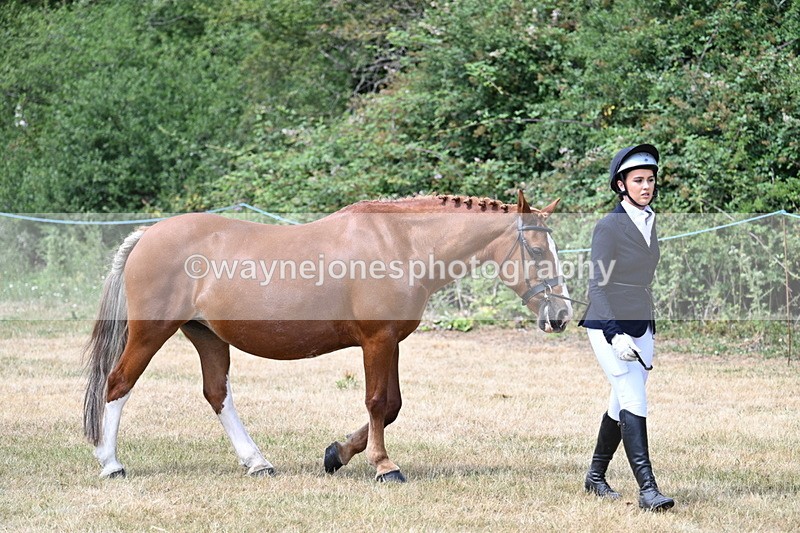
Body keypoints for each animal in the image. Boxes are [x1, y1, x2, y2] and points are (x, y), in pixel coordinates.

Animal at [83, 190, 573, 482]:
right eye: (535, 249)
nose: (562, 314)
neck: (400, 243)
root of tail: (149, 234)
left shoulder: (391, 342)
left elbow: (392, 406)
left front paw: (337, 453)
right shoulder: (377, 341)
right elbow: (378, 403)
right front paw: (383, 466)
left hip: (207, 336)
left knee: (217, 394)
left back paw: (258, 462)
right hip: (151, 333)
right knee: (118, 384)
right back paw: (111, 464)